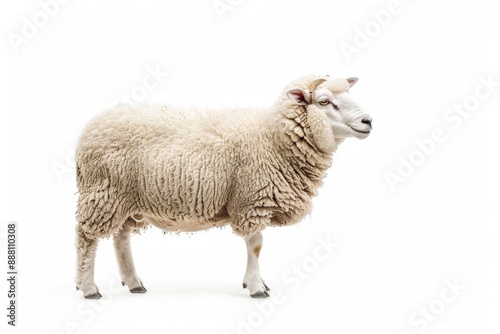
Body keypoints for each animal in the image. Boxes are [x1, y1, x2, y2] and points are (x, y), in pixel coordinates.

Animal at [74, 74, 372, 298]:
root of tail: (89, 129)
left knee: (121, 238)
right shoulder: (252, 200)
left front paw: (256, 282)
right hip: (104, 193)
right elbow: (256, 244)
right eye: (324, 101)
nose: (368, 121)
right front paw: (256, 287)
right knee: (86, 238)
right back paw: (88, 288)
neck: (274, 139)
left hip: (126, 200)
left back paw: (134, 282)